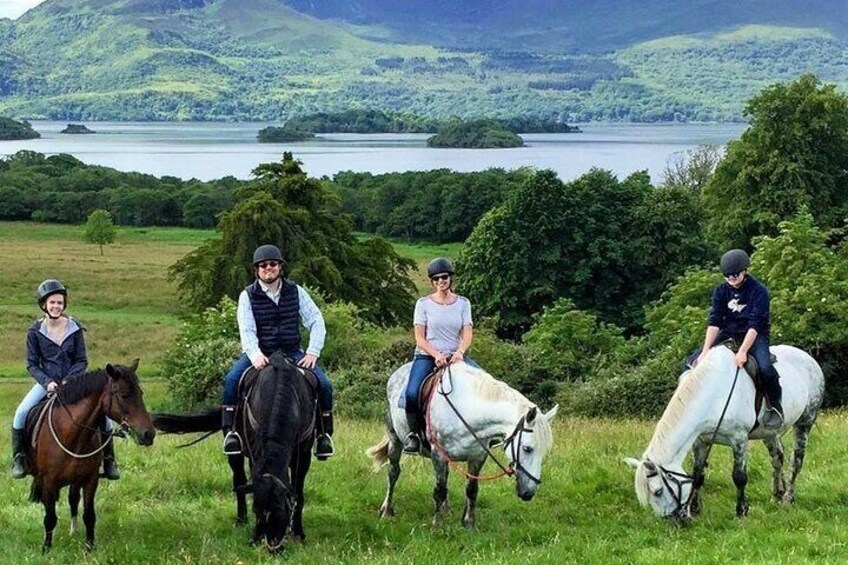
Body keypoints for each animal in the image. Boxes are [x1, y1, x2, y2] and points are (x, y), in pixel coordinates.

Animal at [25, 356, 156, 552]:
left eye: (140, 393)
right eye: (124, 394)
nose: (149, 434)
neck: (72, 434)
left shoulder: (90, 481)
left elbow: (89, 515)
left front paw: (89, 547)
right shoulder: (48, 482)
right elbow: (50, 517)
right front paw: (46, 548)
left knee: (73, 499)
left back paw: (74, 531)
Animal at [364, 362, 556, 528]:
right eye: (527, 448)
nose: (529, 493)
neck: (469, 410)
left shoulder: (478, 456)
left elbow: (471, 489)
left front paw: (469, 524)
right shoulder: (438, 454)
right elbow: (440, 489)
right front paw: (437, 525)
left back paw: (446, 510)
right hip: (395, 438)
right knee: (393, 473)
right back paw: (386, 510)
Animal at [624, 344, 820, 524]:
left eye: (658, 492)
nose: (675, 522)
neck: (714, 393)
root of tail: (809, 359)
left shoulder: (739, 439)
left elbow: (739, 477)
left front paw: (741, 511)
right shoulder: (700, 441)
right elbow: (698, 475)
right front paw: (695, 508)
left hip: (805, 422)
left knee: (796, 461)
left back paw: (788, 498)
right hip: (769, 433)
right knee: (777, 457)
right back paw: (777, 495)